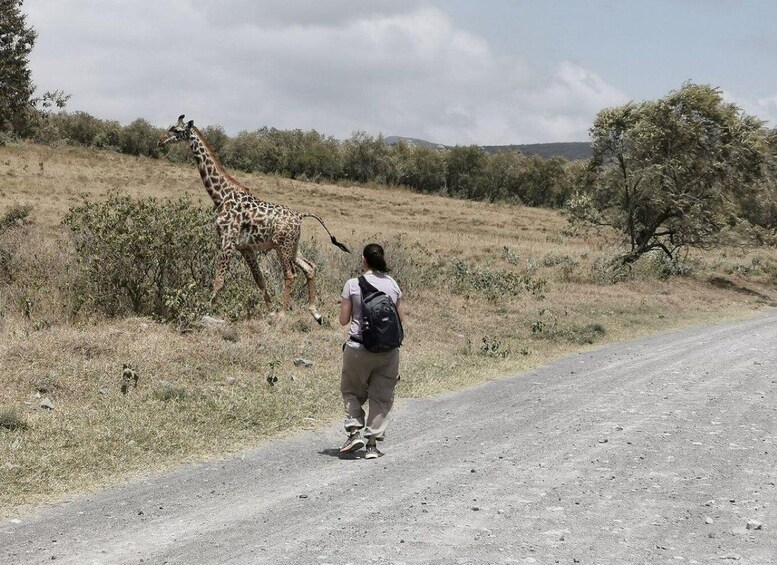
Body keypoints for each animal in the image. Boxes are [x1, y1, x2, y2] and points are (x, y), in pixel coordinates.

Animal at [158, 115, 349, 323]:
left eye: (176, 130)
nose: (160, 141)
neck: (221, 196)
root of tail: (300, 216)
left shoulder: (228, 241)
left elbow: (219, 280)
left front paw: (203, 309)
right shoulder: (245, 247)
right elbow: (259, 279)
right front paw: (269, 310)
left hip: (282, 246)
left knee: (290, 274)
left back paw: (283, 313)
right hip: (292, 246)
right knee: (310, 267)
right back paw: (314, 312)